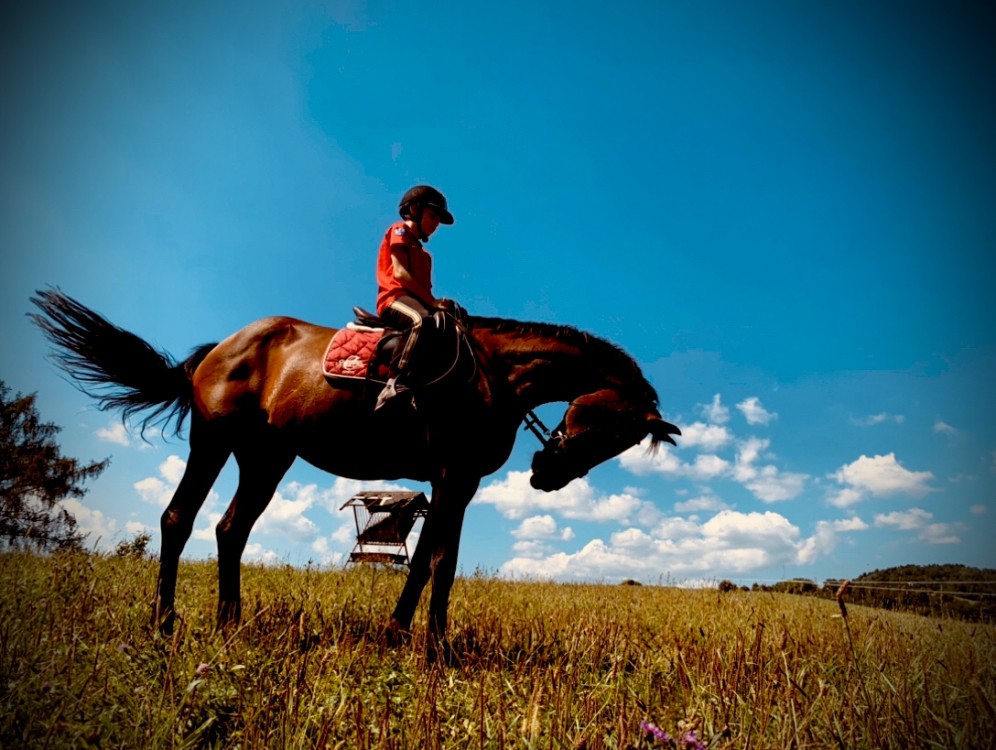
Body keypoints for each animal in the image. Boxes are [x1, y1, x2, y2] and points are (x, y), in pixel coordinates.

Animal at [33, 290, 684, 660]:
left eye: (617, 443)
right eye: (607, 429)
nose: (547, 475)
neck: (491, 373)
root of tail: (222, 347)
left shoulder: (455, 484)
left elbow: (426, 563)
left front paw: (405, 636)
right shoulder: (452, 477)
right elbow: (440, 563)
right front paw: (433, 649)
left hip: (266, 459)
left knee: (230, 531)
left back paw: (230, 623)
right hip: (212, 442)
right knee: (178, 519)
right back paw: (165, 625)